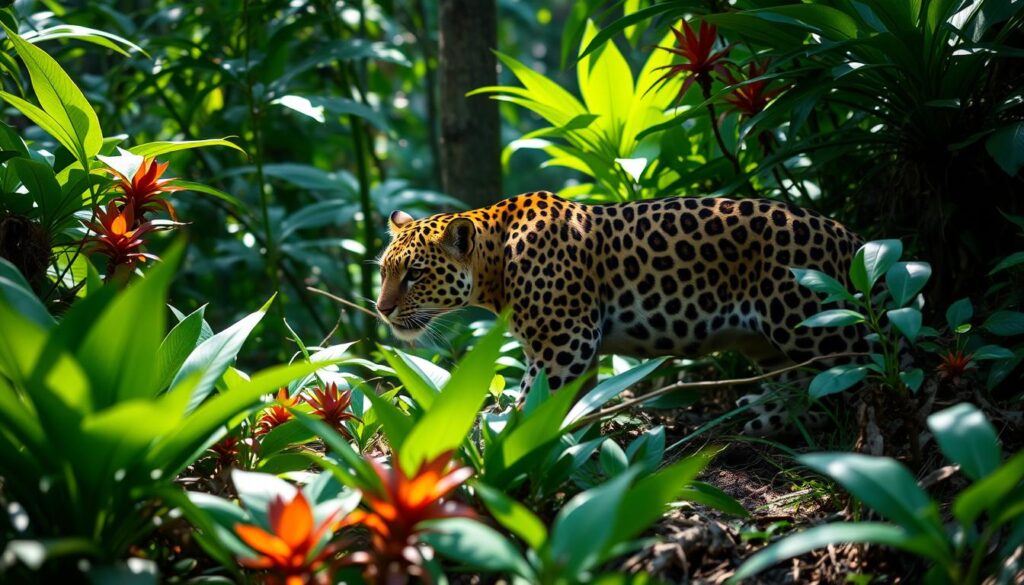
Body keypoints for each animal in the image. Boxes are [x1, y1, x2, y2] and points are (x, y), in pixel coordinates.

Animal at [372, 192, 868, 434]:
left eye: (415, 274)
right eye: (384, 271)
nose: (382, 309)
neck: (495, 263)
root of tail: (851, 238)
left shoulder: (565, 341)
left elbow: (531, 401)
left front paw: (499, 441)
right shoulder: (578, 349)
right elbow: (570, 403)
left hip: (812, 323)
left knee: (857, 370)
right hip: (769, 341)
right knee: (800, 379)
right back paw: (768, 417)